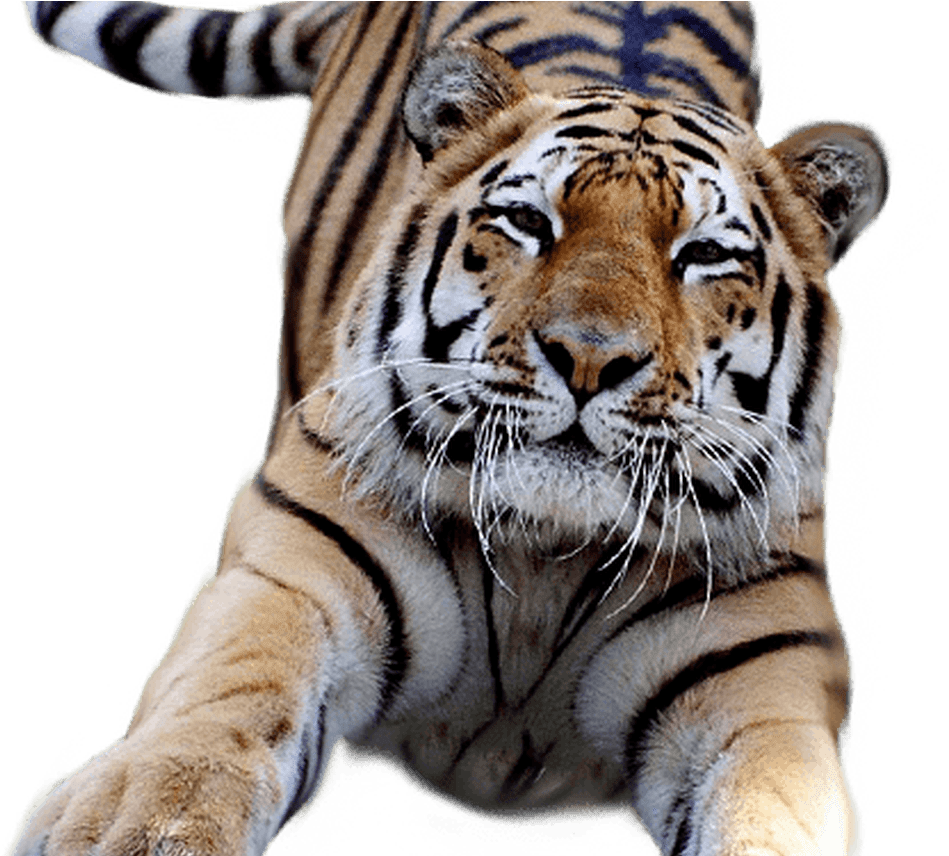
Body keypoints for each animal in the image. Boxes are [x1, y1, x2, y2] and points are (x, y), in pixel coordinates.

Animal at [12, 2, 889, 855]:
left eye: (702, 255)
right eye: (527, 221)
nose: (588, 357)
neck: (545, 562)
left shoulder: (762, 693)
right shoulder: (289, 582)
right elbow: (198, 741)